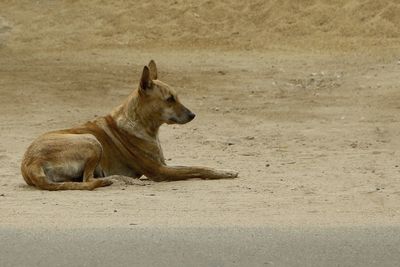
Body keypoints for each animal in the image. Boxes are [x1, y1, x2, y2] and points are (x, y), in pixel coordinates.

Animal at [21, 60, 238, 191]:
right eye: (170, 99)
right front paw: (225, 172)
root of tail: (30, 164)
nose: (193, 115)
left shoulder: (163, 165)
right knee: (89, 180)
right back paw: (117, 180)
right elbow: (198, 168)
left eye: (177, 97)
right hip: (91, 141)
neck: (141, 124)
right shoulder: (161, 170)